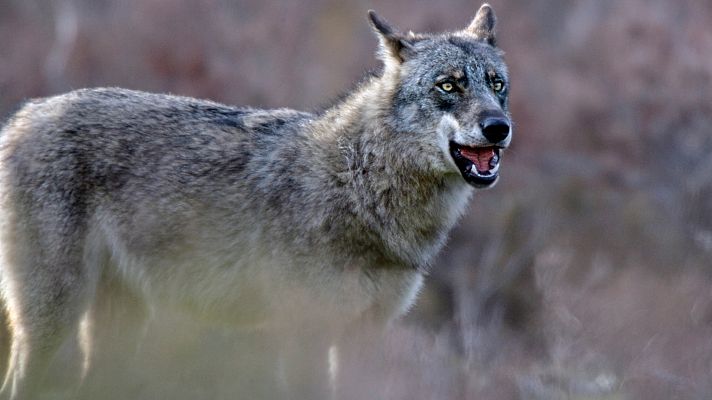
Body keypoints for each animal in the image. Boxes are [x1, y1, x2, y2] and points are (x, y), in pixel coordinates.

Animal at [0, 3, 511, 399]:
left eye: (496, 84)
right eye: (449, 85)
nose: (498, 128)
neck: (360, 183)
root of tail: (23, 114)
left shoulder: (364, 336)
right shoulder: (303, 334)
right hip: (51, 320)